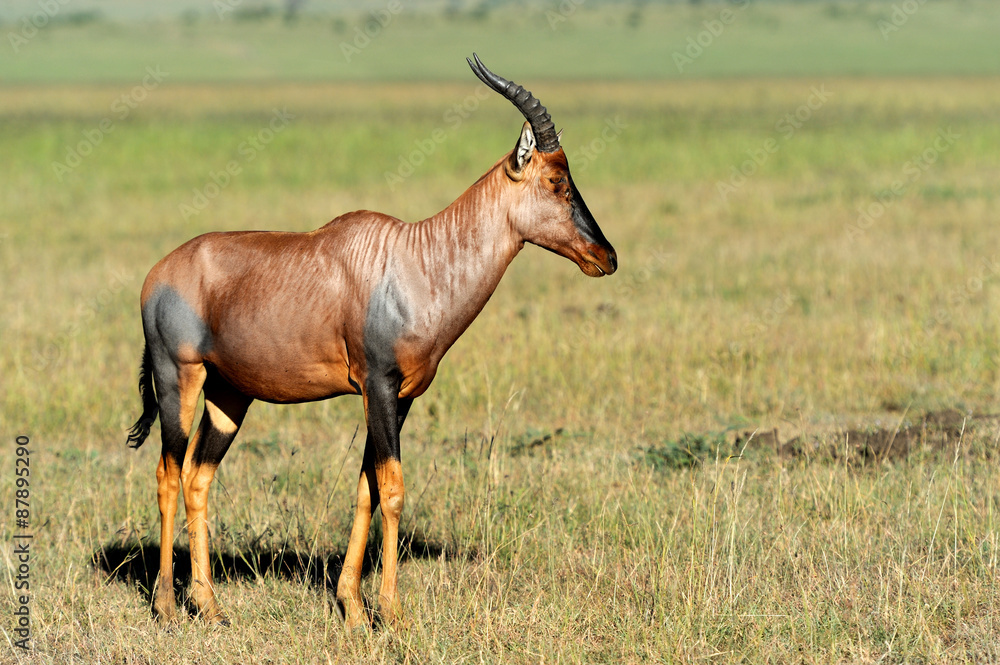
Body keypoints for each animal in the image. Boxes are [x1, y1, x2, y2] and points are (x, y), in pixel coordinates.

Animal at [126, 53, 616, 628]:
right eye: (557, 180)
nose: (606, 257)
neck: (413, 259)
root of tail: (158, 275)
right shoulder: (378, 385)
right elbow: (395, 490)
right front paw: (392, 611)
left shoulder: (398, 398)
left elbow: (367, 488)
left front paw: (354, 609)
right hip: (177, 377)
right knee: (168, 473)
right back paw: (166, 605)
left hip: (229, 394)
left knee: (199, 477)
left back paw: (210, 605)